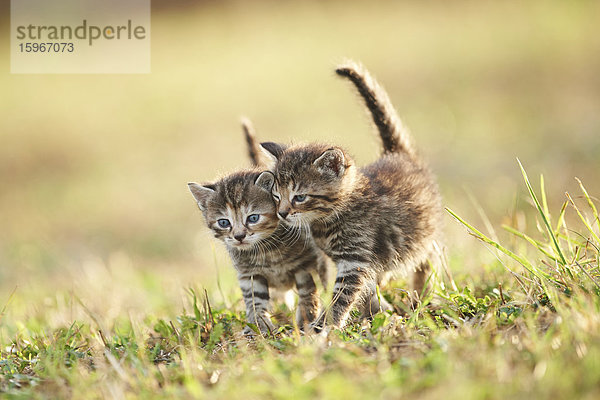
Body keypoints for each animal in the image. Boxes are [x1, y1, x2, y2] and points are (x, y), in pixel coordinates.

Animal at [188, 122, 328, 334]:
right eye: (224, 222)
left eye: (253, 218)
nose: (239, 236)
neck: (267, 250)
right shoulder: (249, 273)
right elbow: (255, 299)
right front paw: (258, 324)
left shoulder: (305, 264)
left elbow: (308, 292)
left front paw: (306, 318)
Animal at [256, 59, 440, 328]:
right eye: (277, 196)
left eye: (299, 197)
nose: (282, 213)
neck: (328, 221)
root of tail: (397, 153)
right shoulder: (352, 261)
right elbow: (364, 289)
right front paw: (372, 313)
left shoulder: (355, 260)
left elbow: (341, 297)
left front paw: (325, 327)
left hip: (425, 236)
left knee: (427, 262)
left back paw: (421, 295)